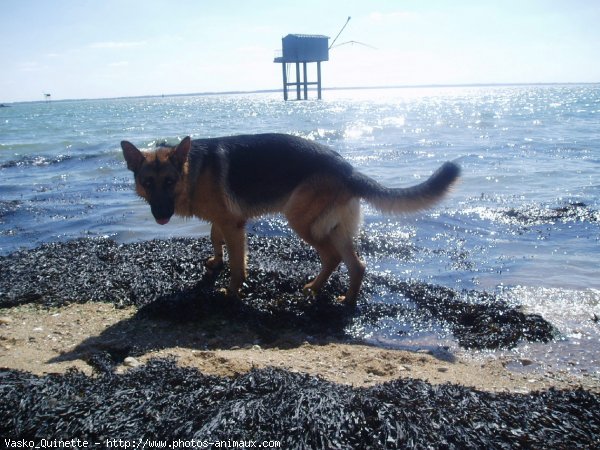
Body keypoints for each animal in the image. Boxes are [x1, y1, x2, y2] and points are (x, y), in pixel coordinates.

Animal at [120, 132, 460, 304]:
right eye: (148, 183)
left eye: (169, 182)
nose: (161, 215)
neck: (193, 169)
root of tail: (348, 168)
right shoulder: (223, 219)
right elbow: (214, 237)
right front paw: (215, 262)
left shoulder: (234, 225)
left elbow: (237, 263)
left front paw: (232, 290)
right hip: (334, 227)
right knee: (356, 264)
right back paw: (345, 299)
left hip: (301, 221)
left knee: (332, 257)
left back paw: (316, 289)